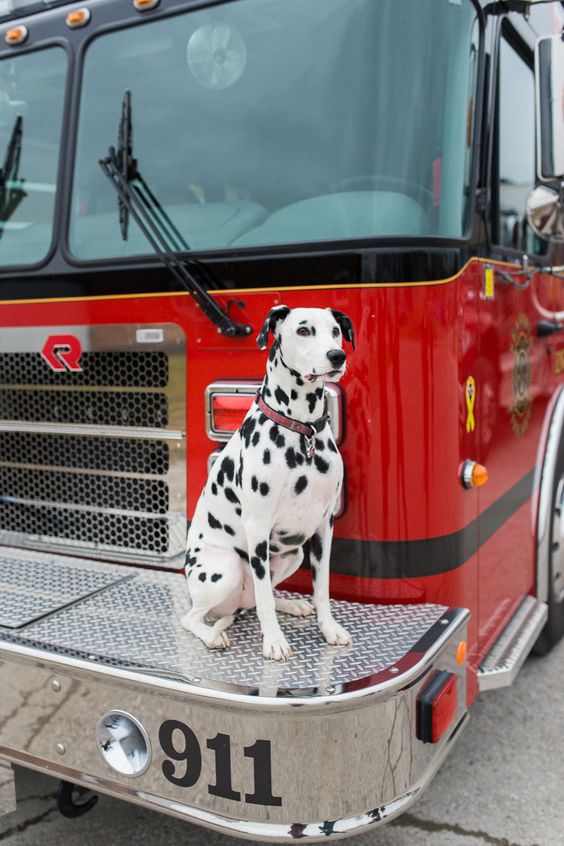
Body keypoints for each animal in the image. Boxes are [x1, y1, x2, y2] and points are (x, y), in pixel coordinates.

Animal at [181, 304, 354, 664]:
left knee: (267, 596)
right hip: (226, 568)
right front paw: (273, 641)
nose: (337, 356)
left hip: (294, 553)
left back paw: (291, 604)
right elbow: (264, 599)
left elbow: (321, 589)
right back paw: (211, 636)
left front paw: (329, 629)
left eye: (335, 331)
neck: (302, 431)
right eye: (303, 330)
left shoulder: (323, 527)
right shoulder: (257, 528)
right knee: (192, 617)